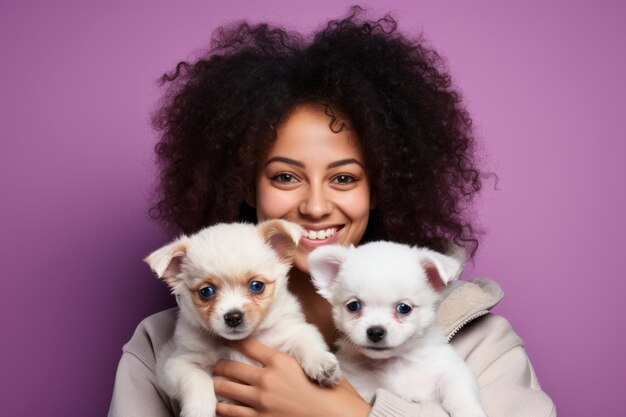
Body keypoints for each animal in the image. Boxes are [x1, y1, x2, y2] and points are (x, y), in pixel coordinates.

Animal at [144, 219, 338, 414]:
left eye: (257, 286)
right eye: (206, 291)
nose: (233, 317)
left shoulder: (294, 331)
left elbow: (306, 343)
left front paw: (321, 363)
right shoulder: (177, 364)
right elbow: (198, 379)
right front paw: (199, 410)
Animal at [308, 240, 488, 416]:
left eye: (404, 308)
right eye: (353, 306)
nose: (375, 332)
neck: (394, 363)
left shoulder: (451, 369)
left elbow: (458, 391)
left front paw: (470, 411)